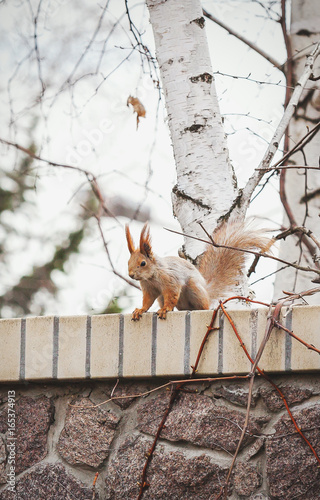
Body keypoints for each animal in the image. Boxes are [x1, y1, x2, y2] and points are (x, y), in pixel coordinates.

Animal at [126, 223, 272, 320]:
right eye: (128, 262)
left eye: (143, 263)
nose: (131, 275)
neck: (151, 277)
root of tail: (206, 291)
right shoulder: (148, 288)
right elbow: (147, 301)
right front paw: (140, 310)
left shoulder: (171, 280)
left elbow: (172, 295)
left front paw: (165, 309)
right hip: (165, 298)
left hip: (194, 288)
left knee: (203, 307)